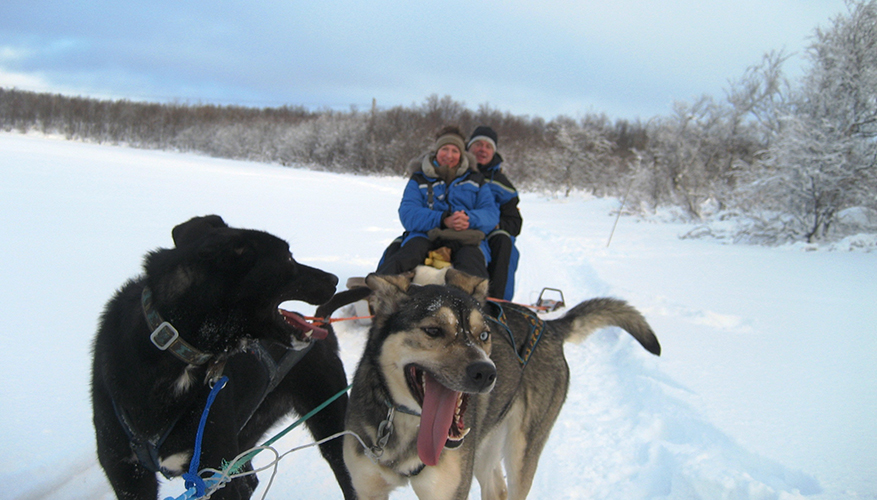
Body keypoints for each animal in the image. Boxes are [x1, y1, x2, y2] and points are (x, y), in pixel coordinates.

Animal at [91, 216, 356, 500]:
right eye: (287, 258)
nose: (334, 279)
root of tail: (321, 322)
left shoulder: (214, 468)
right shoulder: (128, 474)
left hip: (331, 426)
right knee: (249, 480)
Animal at [342, 270, 656, 500]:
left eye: (483, 335)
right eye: (433, 330)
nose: (486, 372)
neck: (409, 427)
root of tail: (549, 327)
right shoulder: (366, 489)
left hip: (520, 453)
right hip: (485, 447)